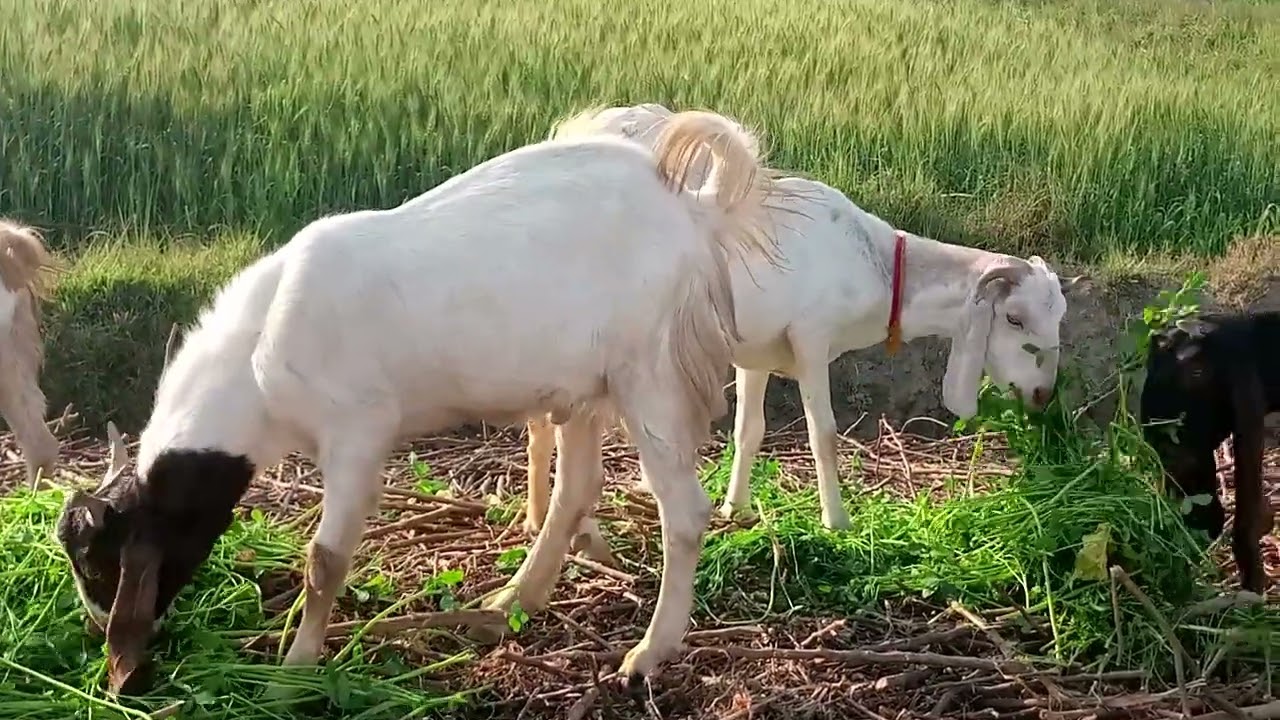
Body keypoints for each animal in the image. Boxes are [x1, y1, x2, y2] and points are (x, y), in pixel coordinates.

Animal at [54, 108, 787, 694]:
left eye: (97, 559)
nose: (99, 633)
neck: (258, 362)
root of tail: (696, 211)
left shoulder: (358, 433)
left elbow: (324, 560)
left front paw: (293, 672)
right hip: (588, 387)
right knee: (577, 491)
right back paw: (511, 601)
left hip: (649, 375)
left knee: (684, 513)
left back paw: (648, 654)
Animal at [523, 104, 1089, 558]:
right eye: (1014, 318)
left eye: (1058, 318)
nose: (1043, 394)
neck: (874, 263)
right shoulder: (812, 341)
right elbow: (824, 434)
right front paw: (837, 521)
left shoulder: (755, 352)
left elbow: (749, 430)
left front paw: (736, 507)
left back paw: (537, 517)